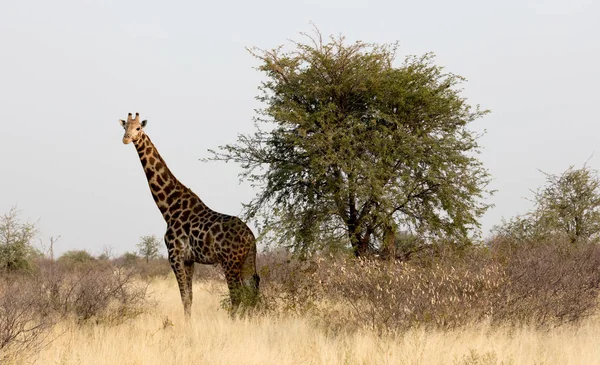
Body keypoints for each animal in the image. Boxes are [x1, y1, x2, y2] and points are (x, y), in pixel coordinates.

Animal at [118, 112, 258, 318]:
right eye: (124, 127)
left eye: (138, 128)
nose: (126, 139)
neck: (168, 207)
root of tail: (250, 237)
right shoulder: (189, 260)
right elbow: (190, 298)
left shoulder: (175, 256)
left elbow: (184, 297)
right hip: (247, 260)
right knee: (252, 291)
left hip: (230, 262)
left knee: (237, 296)